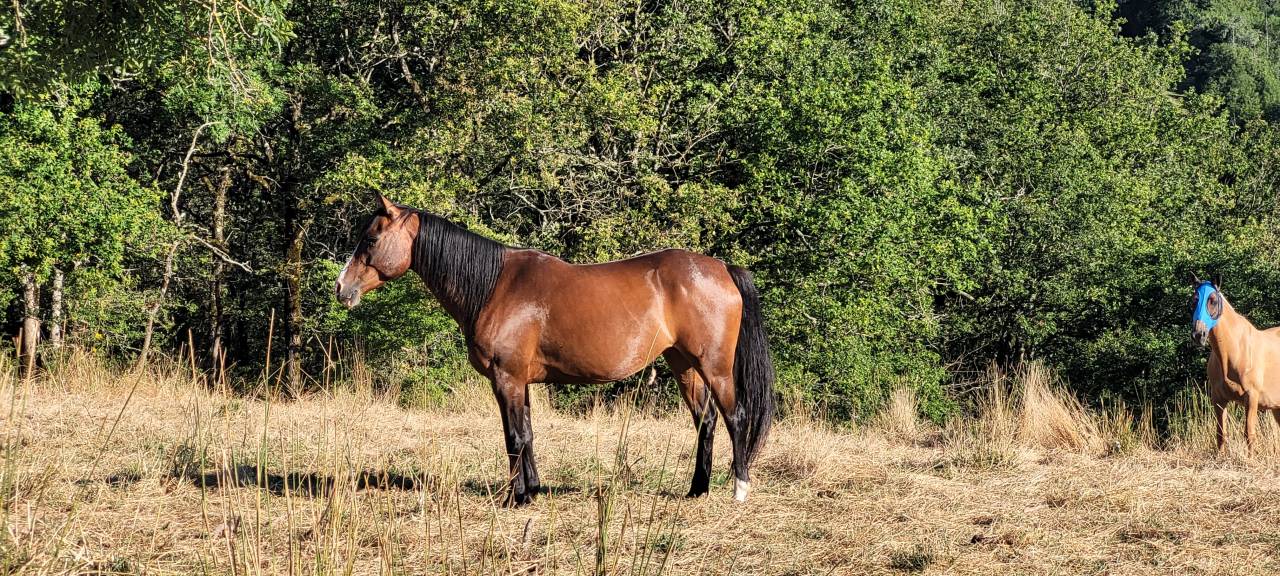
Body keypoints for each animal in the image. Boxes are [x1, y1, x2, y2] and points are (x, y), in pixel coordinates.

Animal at [336, 194, 776, 505]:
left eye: (370, 239)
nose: (341, 288)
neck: (493, 286)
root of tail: (722, 269)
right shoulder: (519, 381)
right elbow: (526, 433)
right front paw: (531, 489)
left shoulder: (506, 378)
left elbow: (514, 437)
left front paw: (517, 499)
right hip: (683, 364)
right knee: (705, 421)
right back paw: (696, 490)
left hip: (714, 366)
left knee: (735, 416)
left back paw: (738, 489)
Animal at [1191, 277, 1280, 454]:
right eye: (1194, 300)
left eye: (1213, 300)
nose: (1198, 334)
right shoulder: (1218, 398)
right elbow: (1221, 434)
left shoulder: (1251, 397)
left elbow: (1249, 434)